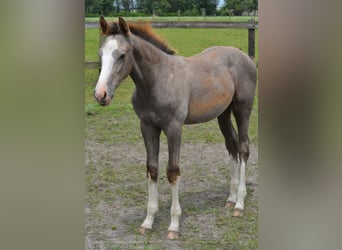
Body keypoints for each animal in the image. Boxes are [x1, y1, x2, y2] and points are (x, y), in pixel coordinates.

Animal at [93, 16, 256, 239]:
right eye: (100, 54)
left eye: (122, 55)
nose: (101, 94)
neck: (158, 79)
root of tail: (246, 56)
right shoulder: (147, 127)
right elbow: (152, 169)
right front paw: (148, 221)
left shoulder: (174, 128)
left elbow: (172, 171)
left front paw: (173, 225)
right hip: (223, 113)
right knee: (231, 146)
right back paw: (230, 199)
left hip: (242, 110)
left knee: (243, 148)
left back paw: (239, 203)